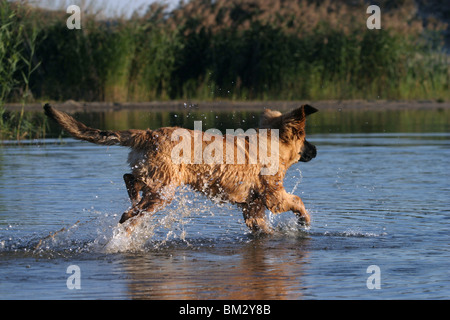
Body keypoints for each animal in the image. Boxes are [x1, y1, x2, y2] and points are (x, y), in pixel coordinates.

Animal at [42, 104, 316, 234]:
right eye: (304, 139)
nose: (315, 151)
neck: (271, 143)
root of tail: (148, 134)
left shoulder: (253, 208)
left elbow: (263, 228)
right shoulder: (274, 197)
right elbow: (298, 201)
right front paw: (304, 221)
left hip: (155, 178)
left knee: (130, 180)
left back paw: (132, 202)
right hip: (164, 189)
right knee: (135, 203)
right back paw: (130, 213)